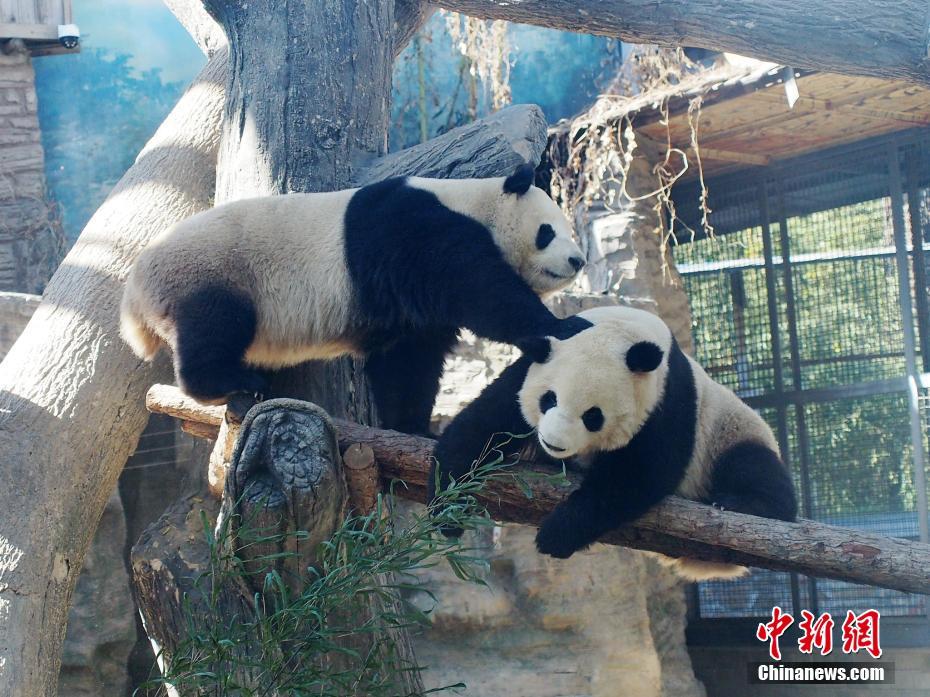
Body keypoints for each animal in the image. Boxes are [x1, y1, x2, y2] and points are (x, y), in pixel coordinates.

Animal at [121, 165, 588, 432]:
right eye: (548, 231)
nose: (578, 260)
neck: (473, 201)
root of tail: (134, 289)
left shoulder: (409, 310)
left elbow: (408, 361)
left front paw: (411, 427)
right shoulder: (416, 230)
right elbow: (482, 291)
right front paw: (564, 325)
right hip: (211, 273)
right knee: (215, 325)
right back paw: (232, 382)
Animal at [430, 304, 796, 580]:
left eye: (593, 416)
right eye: (549, 399)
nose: (553, 442)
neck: (622, 330)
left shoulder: (667, 397)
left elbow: (637, 477)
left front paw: (556, 533)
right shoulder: (532, 365)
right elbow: (485, 424)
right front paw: (448, 510)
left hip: (731, 430)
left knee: (754, 467)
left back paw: (741, 504)